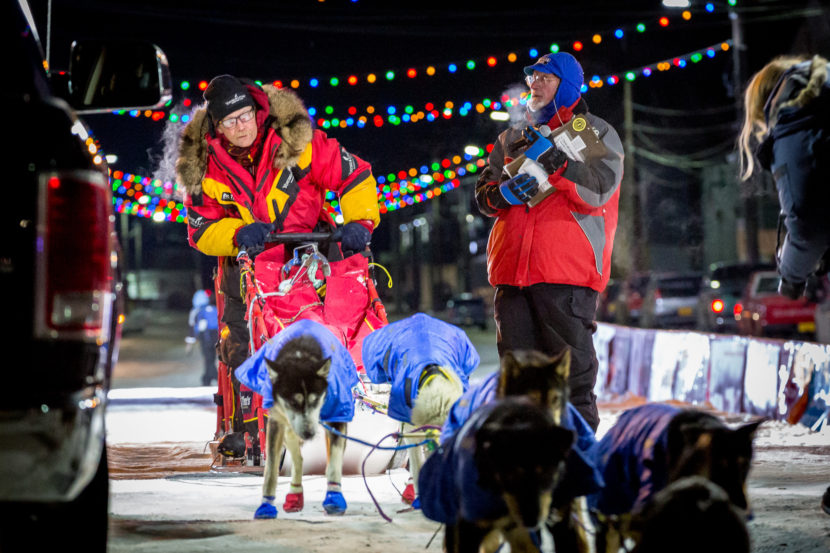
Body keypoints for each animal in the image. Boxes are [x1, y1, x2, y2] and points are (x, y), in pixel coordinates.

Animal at [232, 320, 360, 516]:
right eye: (292, 401)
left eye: (316, 399)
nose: (308, 433)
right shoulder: (277, 423)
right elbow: (271, 469)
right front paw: (266, 506)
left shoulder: (337, 419)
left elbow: (334, 463)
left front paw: (334, 498)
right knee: (297, 458)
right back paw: (295, 494)